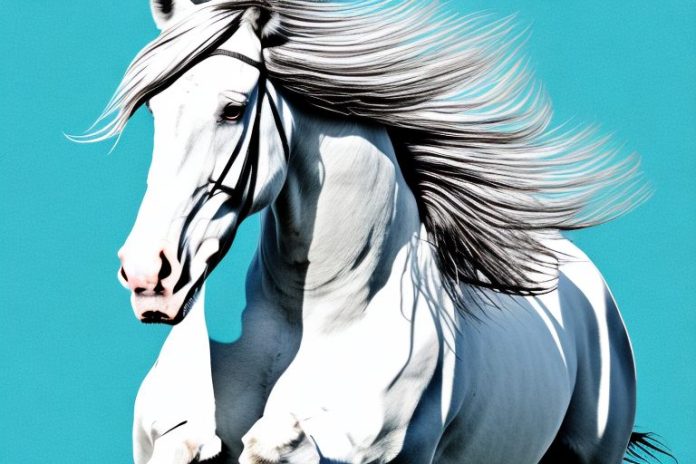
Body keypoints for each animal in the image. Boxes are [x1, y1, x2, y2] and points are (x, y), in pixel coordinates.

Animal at [77, 1, 671, 462]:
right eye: (155, 108)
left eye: (232, 108)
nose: (148, 275)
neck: (310, 318)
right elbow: (183, 433)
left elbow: (280, 443)